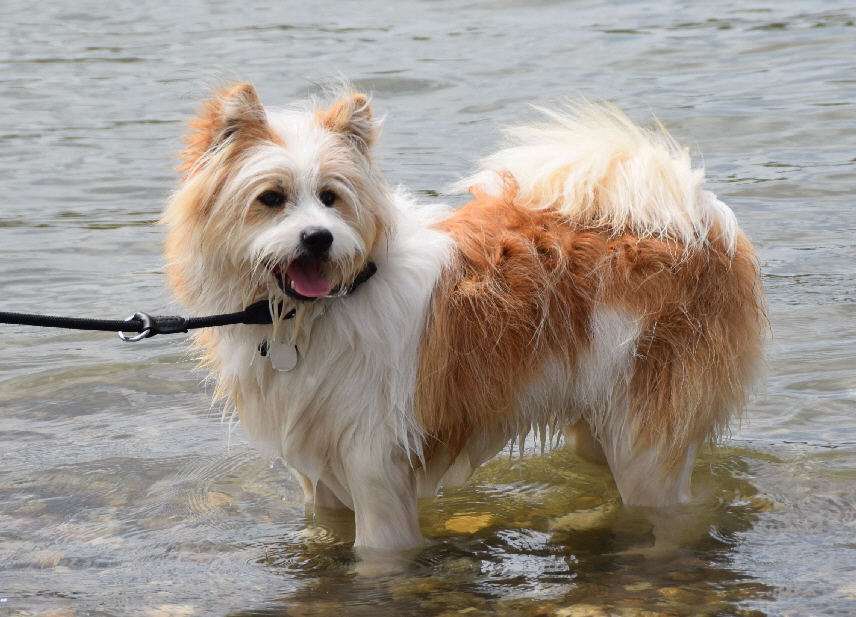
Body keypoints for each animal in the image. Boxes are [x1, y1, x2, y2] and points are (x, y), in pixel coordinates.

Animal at [164, 80, 764, 548]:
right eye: (271, 198)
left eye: (331, 197)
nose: (319, 238)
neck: (316, 313)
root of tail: (700, 219)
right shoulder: (322, 475)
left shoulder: (375, 471)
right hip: (598, 423)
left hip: (644, 440)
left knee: (683, 508)